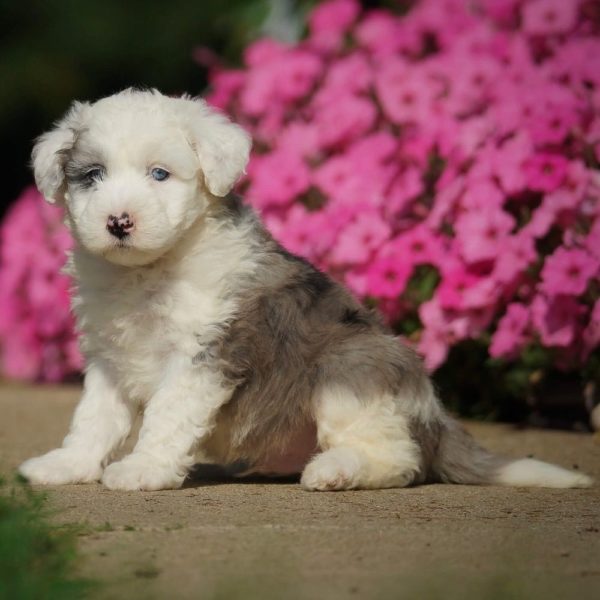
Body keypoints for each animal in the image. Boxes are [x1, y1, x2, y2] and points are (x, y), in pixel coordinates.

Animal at [18, 90, 592, 492]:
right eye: (92, 176)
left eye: (160, 174)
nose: (118, 222)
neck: (146, 272)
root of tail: (433, 416)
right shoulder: (110, 357)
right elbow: (94, 418)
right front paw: (66, 466)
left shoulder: (205, 354)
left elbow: (165, 415)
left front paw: (144, 470)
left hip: (349, 366)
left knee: (399, 459)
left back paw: (334, 471)